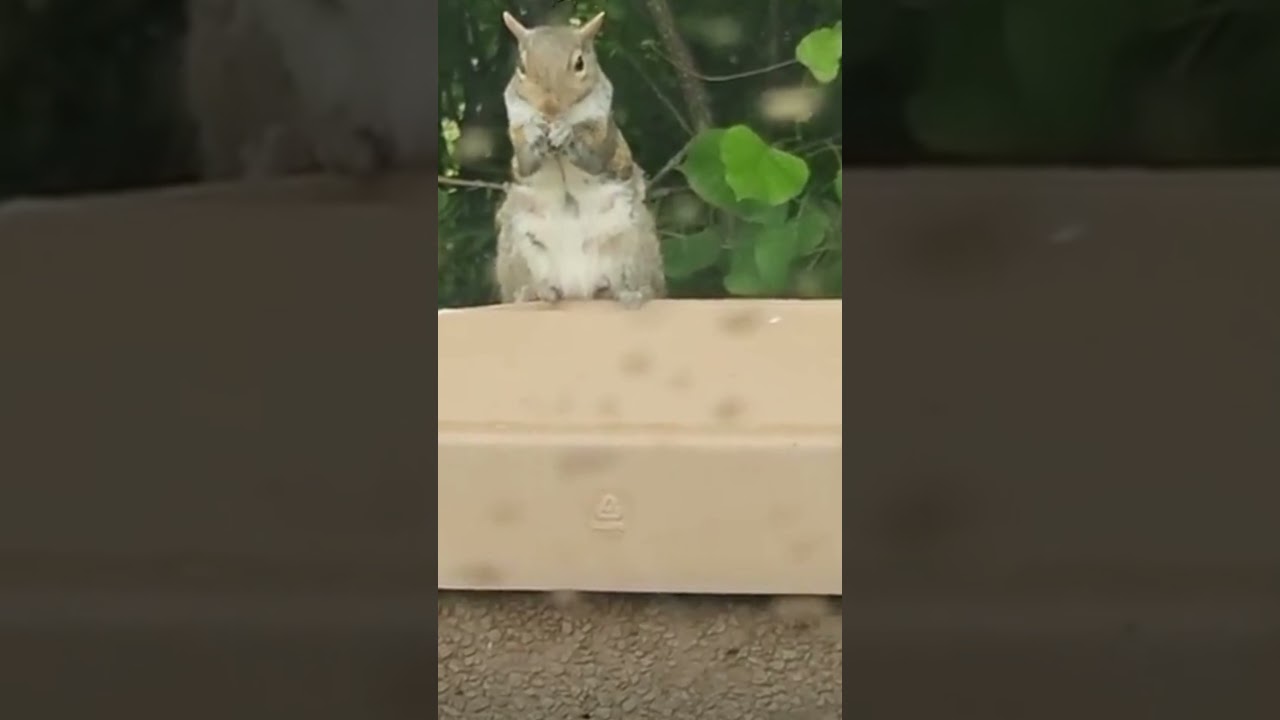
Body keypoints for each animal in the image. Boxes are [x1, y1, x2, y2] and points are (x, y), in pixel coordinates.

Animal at [493, 11, 666, 308]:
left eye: (579, 63)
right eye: (522, 67)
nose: (549, 108)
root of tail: (577, 288)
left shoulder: (604, 132)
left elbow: (595, 155)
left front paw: (567, 133)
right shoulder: (516, 127)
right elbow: (525, 162)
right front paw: (535, 132)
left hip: (635, 240)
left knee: (636, 283)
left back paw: (630, 292)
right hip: (516, 245)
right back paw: (533, 292)